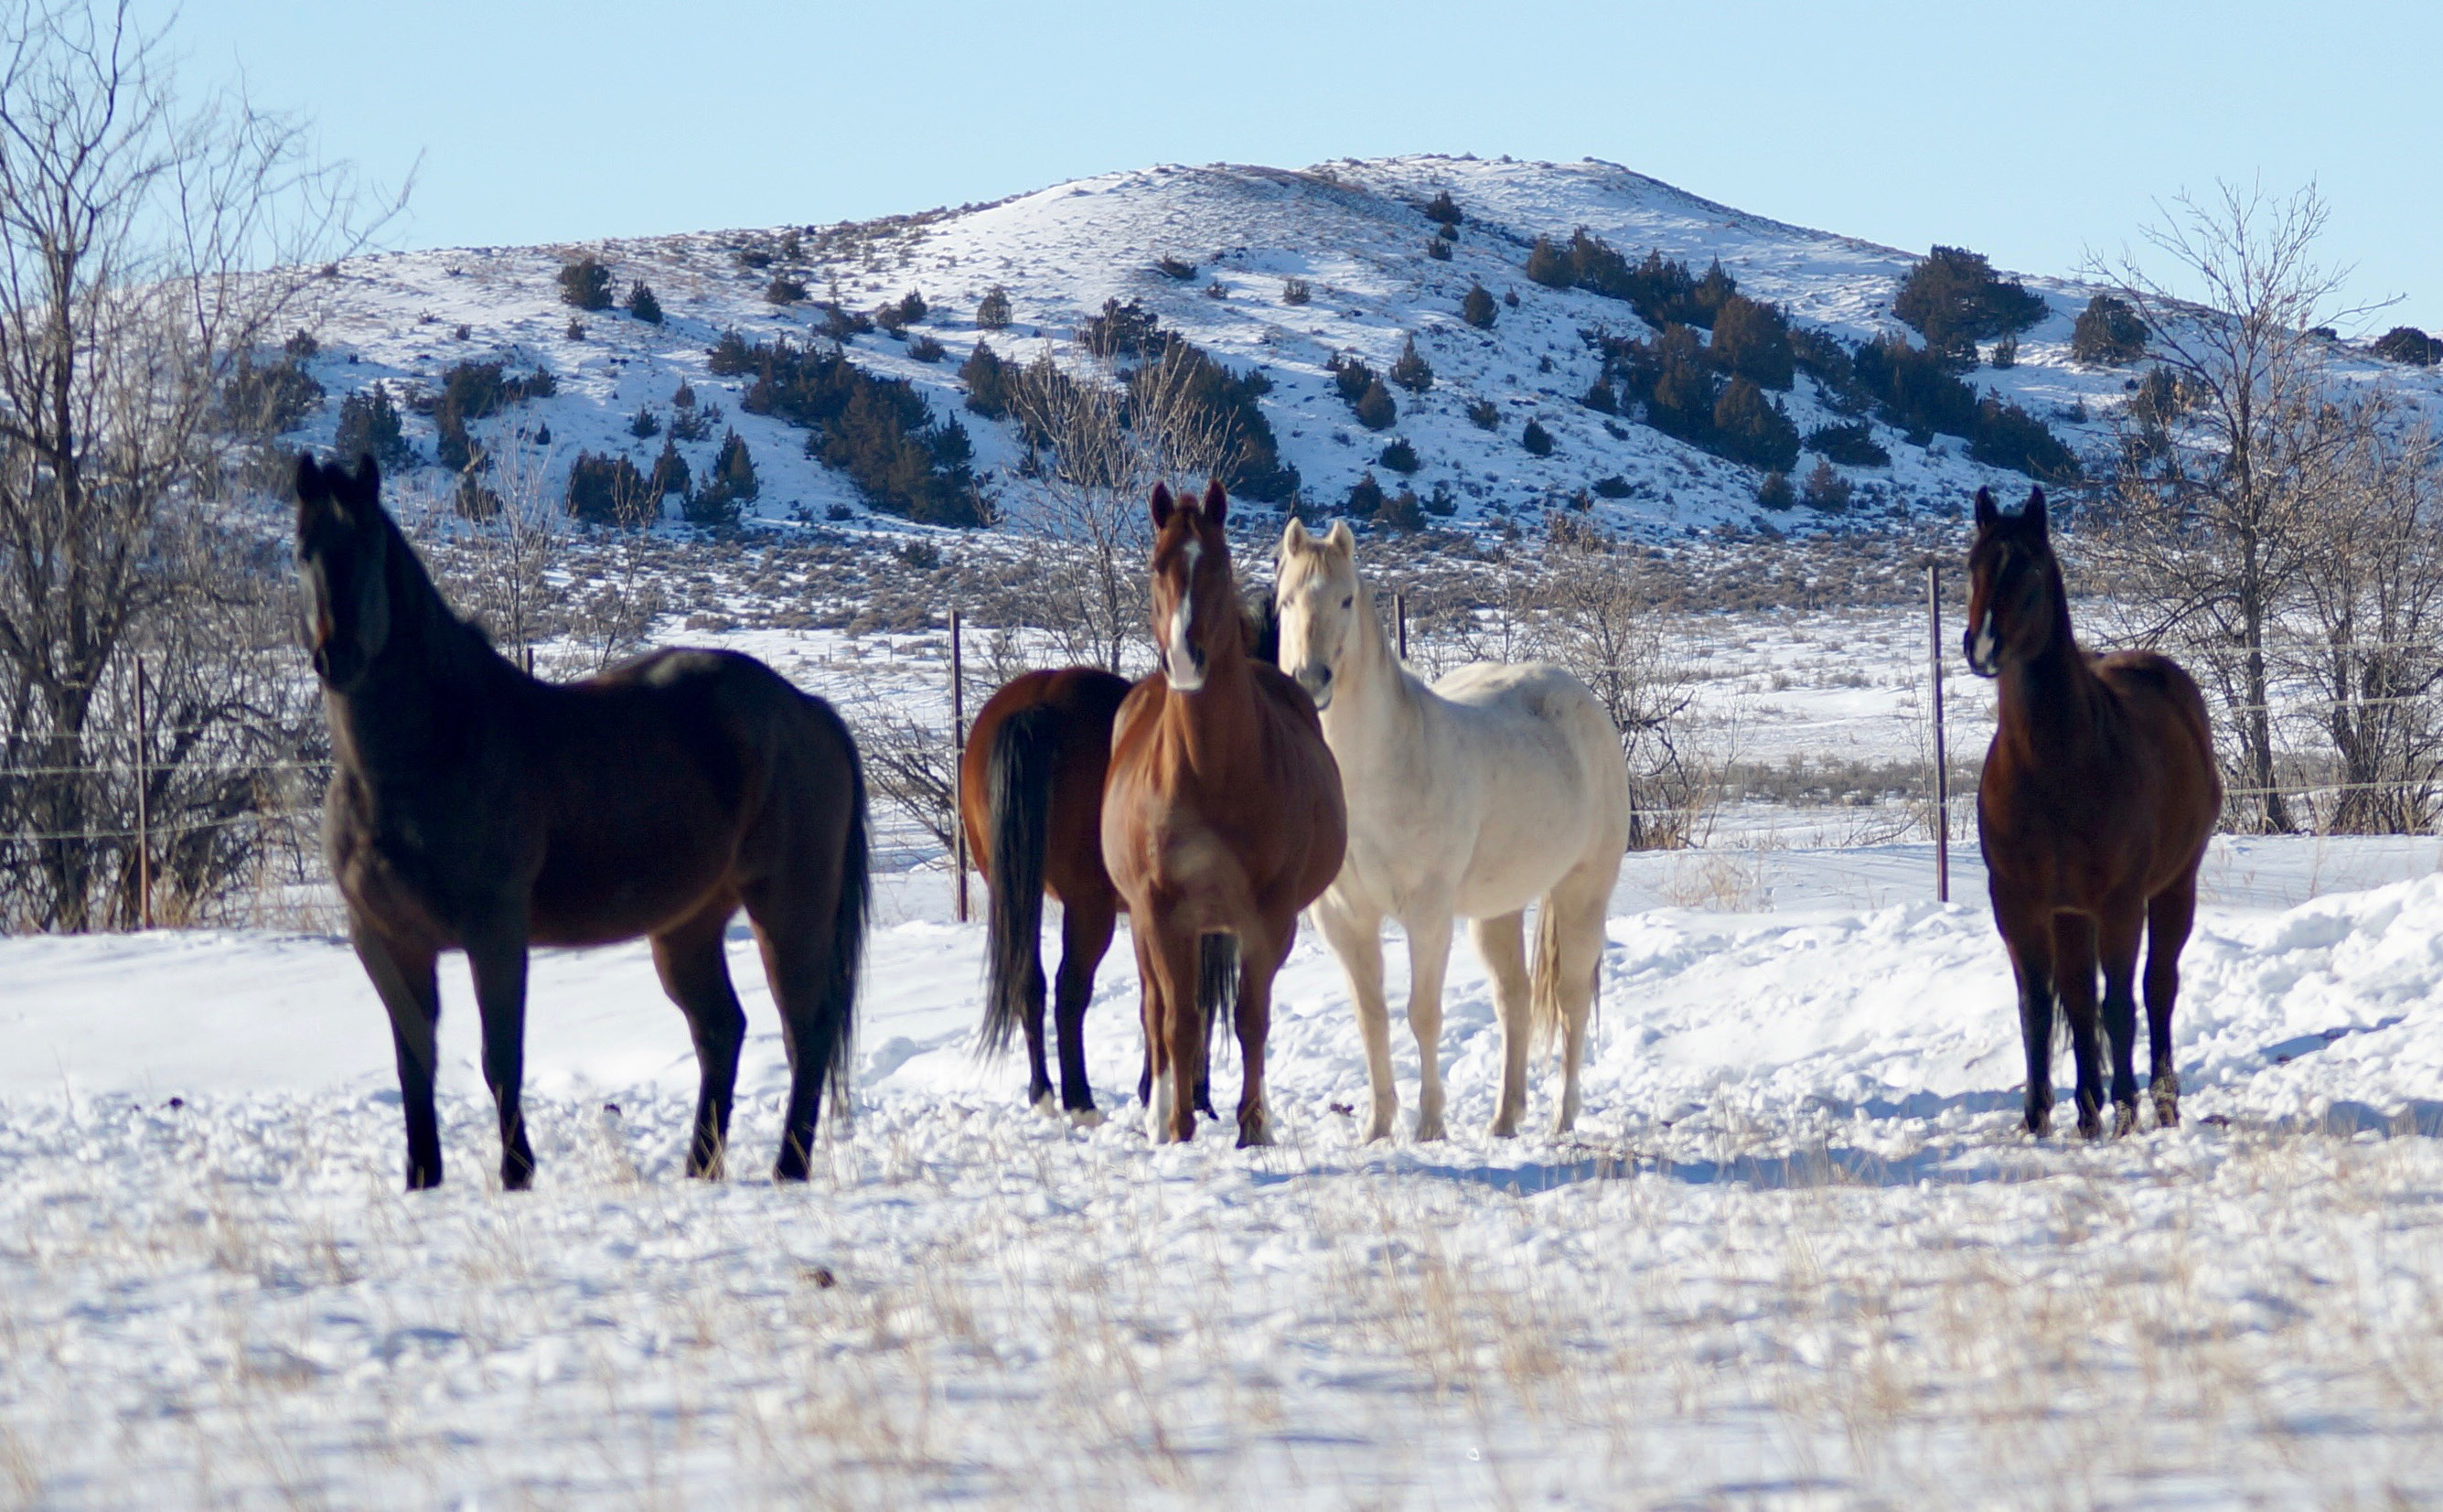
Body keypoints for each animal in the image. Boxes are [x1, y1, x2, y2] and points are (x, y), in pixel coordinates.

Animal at [296, 454, 874, 1186]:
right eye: (302, 551)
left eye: (368, 545)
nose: (335, 656)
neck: (424, 755)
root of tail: (807, 709)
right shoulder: (385, 940)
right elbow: (414, 1064)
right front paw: (421, 1180)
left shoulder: (495, 935)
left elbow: (500, 1059)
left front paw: (517, 1173)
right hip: (688, 925)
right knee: (722, 1029)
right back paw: (699, 1168)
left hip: (788, 908)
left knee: (805, 1032)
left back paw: (787, 1167)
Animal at [1113, 486, 1358, 1148]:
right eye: (1156, 566)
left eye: (1220, 567)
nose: (1184, 658)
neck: (1210, 772)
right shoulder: (1161, 914)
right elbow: (1177, 1020)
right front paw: (1176, 1127)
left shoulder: (1267, 919)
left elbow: (1251, 1018)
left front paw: (1254, 1125)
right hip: (1149, 925)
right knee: (1155, 1011)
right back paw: (1161, 1109)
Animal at [1280, 520, 1622, 1133]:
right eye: (1286, 600)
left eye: (1346, 599)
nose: (1311, 680)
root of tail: (1584, 703)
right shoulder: (1345, 921)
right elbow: (1371, 1017)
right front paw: (1377, 1129)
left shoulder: (1427, 916)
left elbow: (1423, 1015)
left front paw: (1429, 1127)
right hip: (1496, 911)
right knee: (1514, 996)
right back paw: (1505, 1119)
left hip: (1583, 892)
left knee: (1571, 998)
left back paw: (1562, 1120)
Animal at [1954, 486, 2227, 1133]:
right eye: (1973, 565)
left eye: (2030, 568)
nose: (1982, 647)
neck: (2053, 766)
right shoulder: (2020, 905)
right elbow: (2038, 1006)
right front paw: (2038, 1118)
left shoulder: (2120, 903)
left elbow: (2120, 1005)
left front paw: (2126, 1111)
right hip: (2070, 914)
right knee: (2077, 998)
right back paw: (2086, 1109)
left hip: (2173, 887)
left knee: (2157, 986)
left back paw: (2159, 1100)